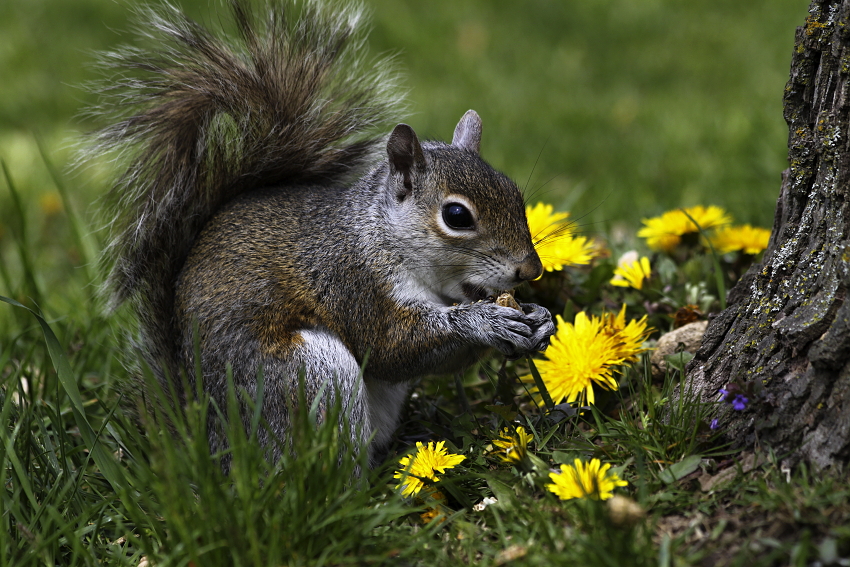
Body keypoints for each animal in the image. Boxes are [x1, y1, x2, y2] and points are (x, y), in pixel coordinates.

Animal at [91, 0, 556, 466]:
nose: (531, 270)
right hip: (306, 376)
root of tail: (209, 441)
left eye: (513, 191)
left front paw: (540, 320)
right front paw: (483, 321)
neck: (380, 235)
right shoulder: (351, 281)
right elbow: (391, 348)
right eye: (457, 215)